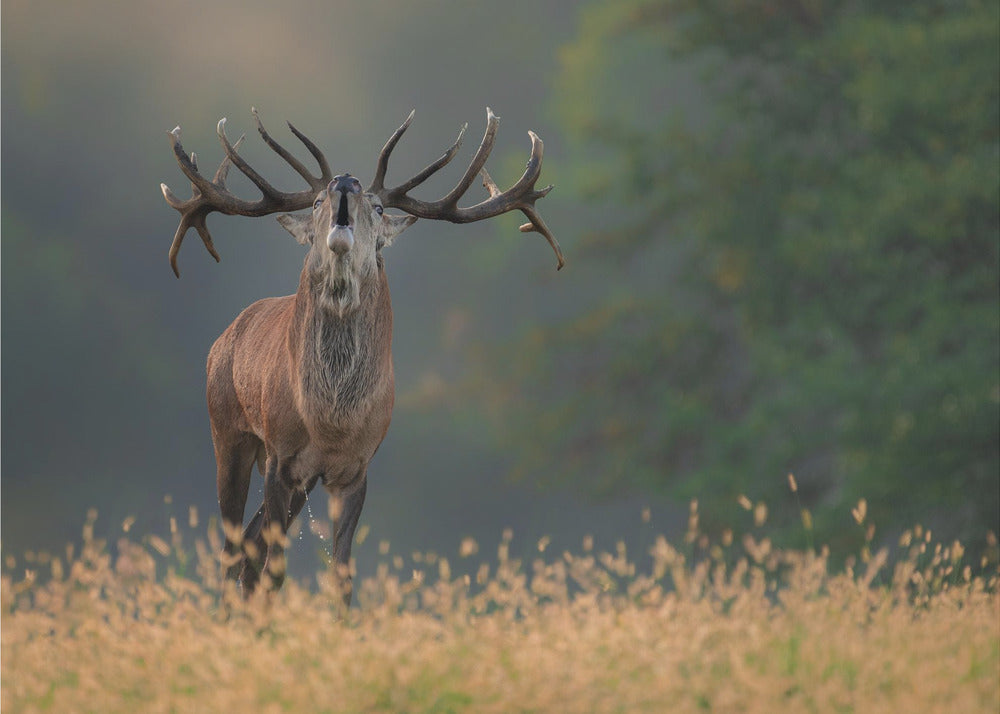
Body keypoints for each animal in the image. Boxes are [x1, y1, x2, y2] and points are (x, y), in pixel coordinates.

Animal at [161, 107, 563, 602]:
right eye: (315, 202)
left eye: (380, 208)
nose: (345, 182)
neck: (332, 420)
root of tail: (223, 338)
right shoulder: (280, 455)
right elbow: (277, 569)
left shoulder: (356, 467)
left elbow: (342, 576)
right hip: (227, 431)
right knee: (234, 550)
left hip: (298, 477)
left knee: (250, 549)